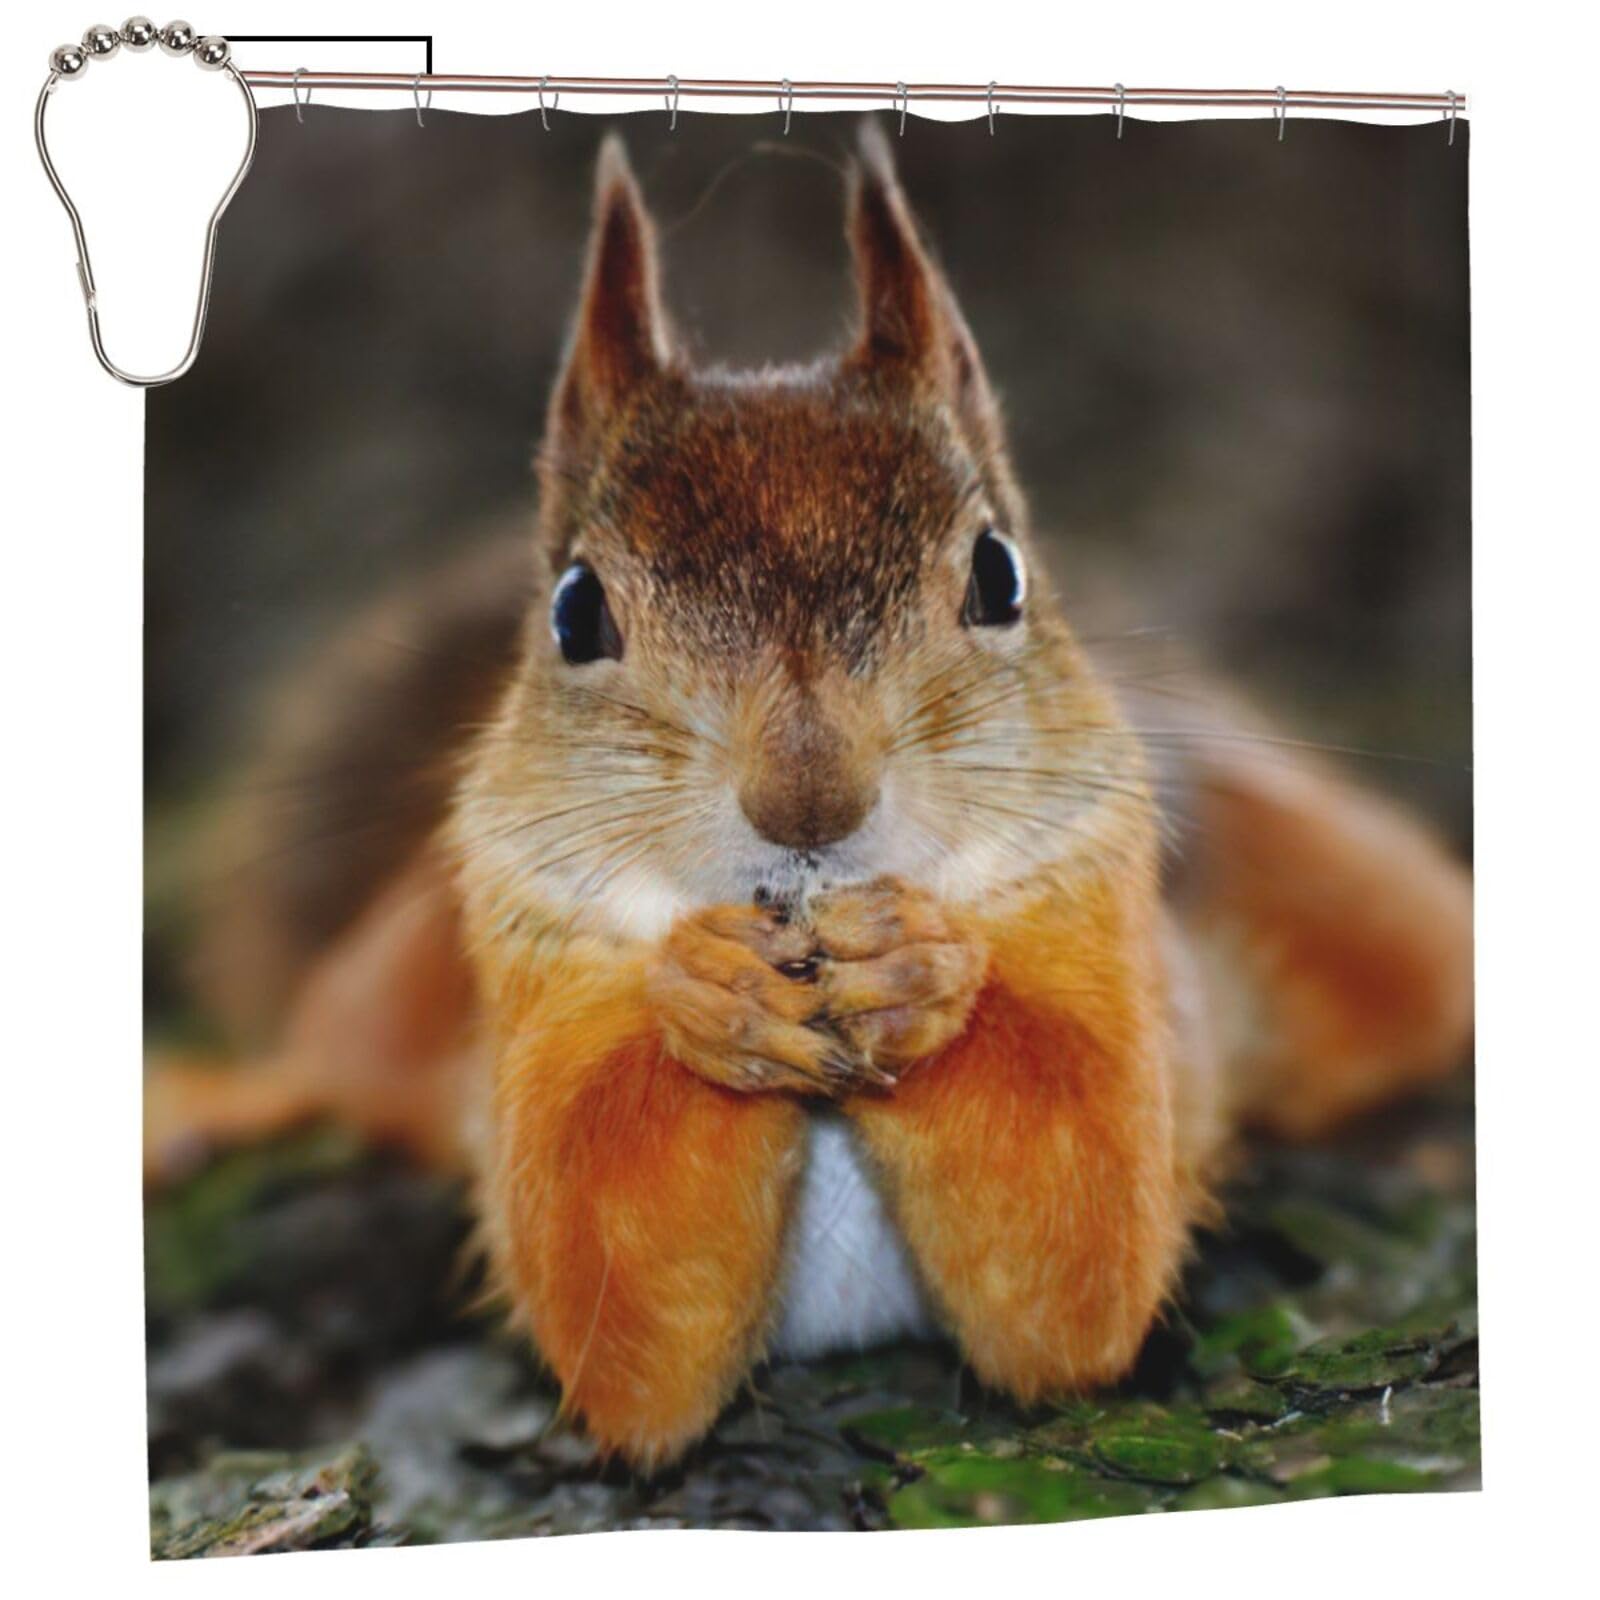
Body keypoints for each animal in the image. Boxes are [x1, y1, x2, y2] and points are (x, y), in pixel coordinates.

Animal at [146, 123, 1474, 1471]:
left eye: (999, 576)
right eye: (574, 611)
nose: (807, 801)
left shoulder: (1109, 932)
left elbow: (1081, 1253)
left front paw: (916, 972)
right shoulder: (532, 963)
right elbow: (612, 1300)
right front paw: (709, 995)